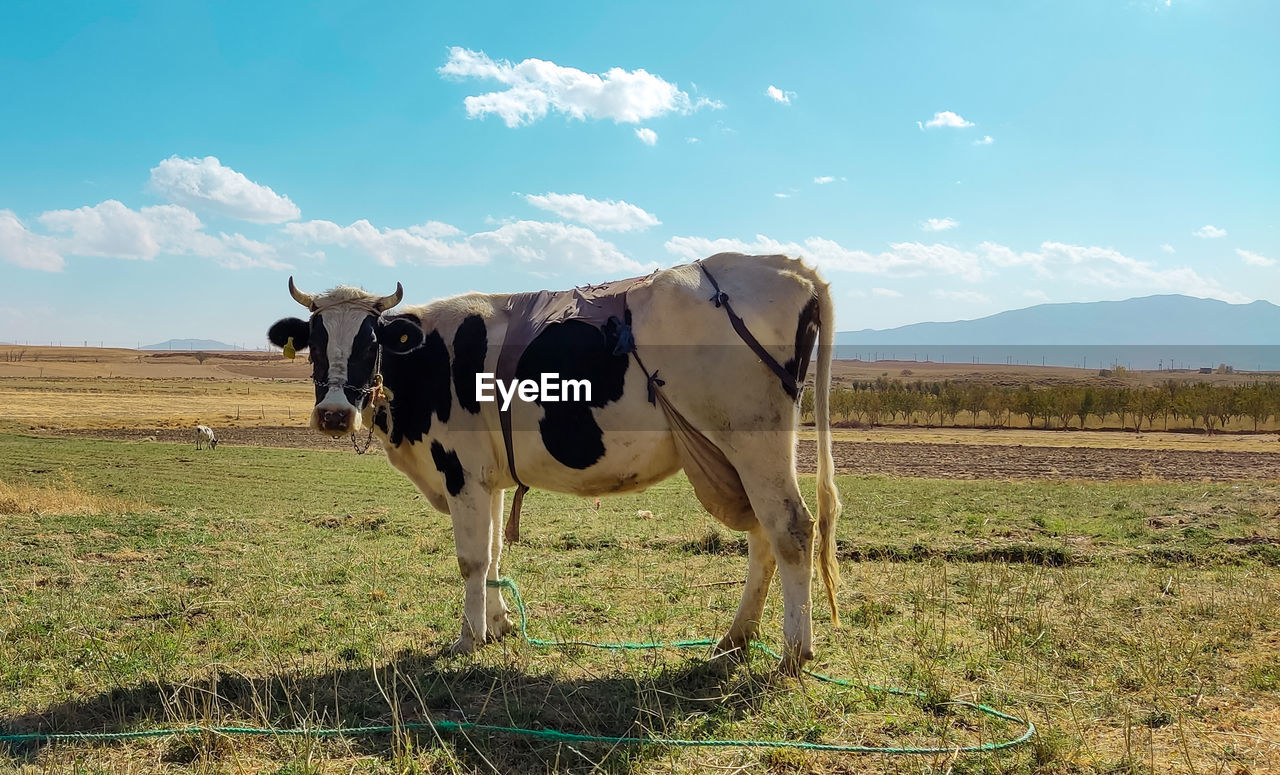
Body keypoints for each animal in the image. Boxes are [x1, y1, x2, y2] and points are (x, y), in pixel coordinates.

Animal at [270, 253, 839, 671]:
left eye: (370, 343)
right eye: (314, 343)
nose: (334, 414)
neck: (429, 359)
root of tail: (786, 266)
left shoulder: (460, 473)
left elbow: (472, 558)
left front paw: (466, 640)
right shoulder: (488, 478)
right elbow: (495, 551)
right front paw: (498, 626)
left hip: (753, 444)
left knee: (791, 530)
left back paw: (793, 652)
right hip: (743, 456)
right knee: (764, 535)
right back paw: (736, 639)